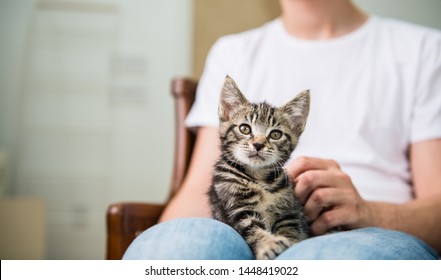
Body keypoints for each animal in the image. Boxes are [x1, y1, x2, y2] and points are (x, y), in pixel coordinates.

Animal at [209, 76, 310, 260]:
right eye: (244, 128)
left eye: (276, 134)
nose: (258, 144)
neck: (259, 178)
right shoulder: (237, 207)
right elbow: (252, 228)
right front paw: (269, 244)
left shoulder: (288, 212)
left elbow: (290, 229)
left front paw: (290, 242)